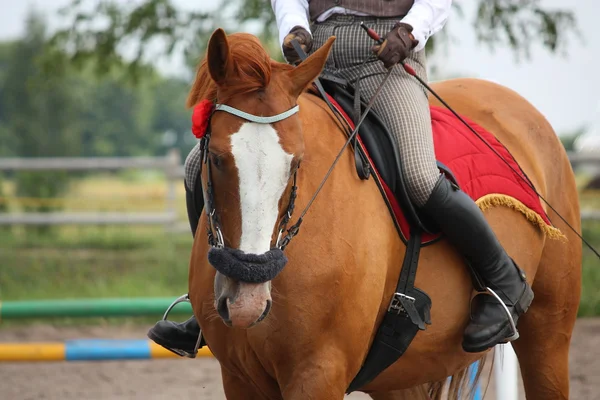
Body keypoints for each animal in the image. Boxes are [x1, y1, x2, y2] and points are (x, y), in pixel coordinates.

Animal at [186, 28, 580, 400]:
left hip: (548, 332)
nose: (246, 303)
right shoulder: (239, 378)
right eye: (216, 158)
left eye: (297, 162)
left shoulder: (318, 372)